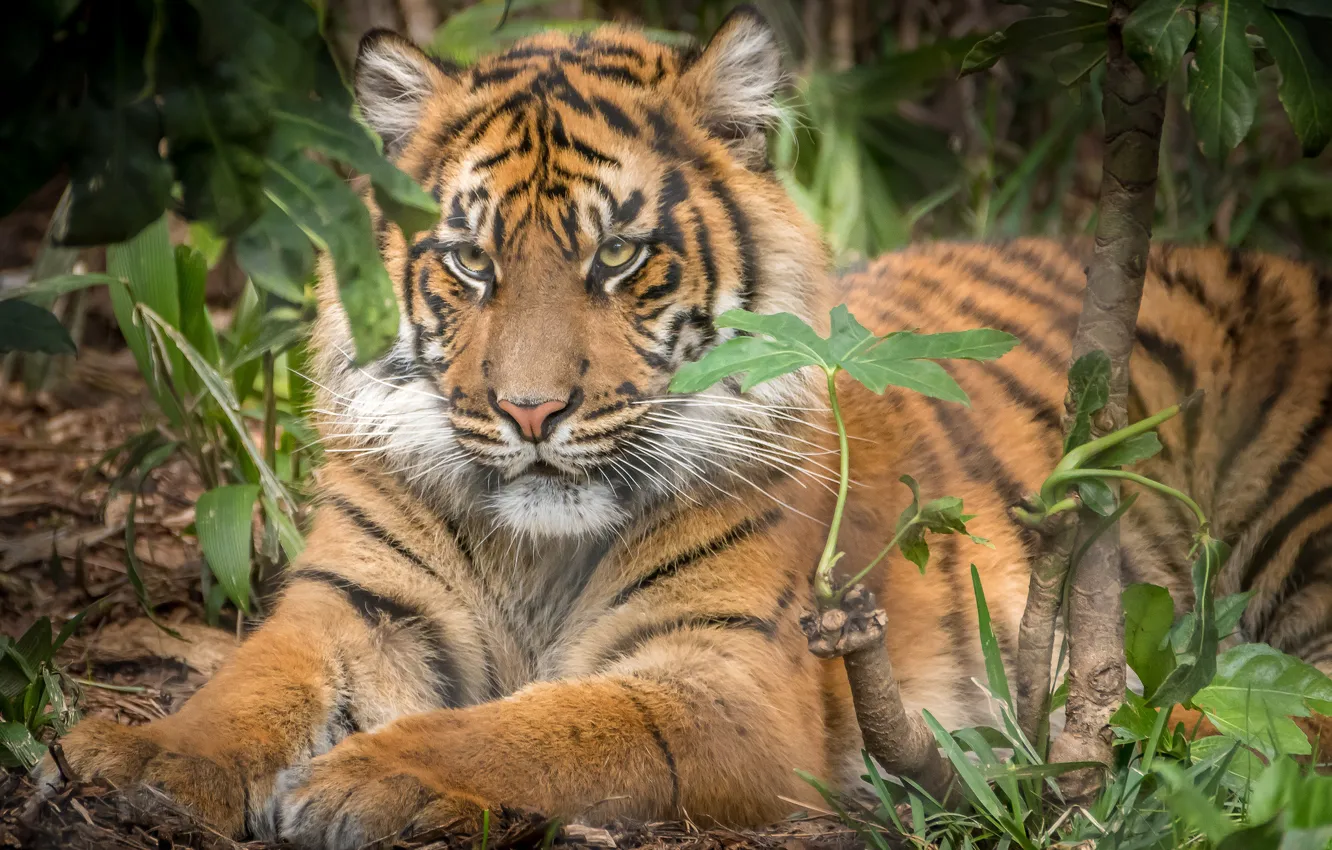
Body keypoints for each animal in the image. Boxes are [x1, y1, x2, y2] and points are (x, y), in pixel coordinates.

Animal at [45, 7, 1332, 849]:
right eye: (471, 262)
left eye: (619, 258)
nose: (529, 410)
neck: (534, 547)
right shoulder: (354, 601)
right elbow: (249, 687)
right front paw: (139, 765)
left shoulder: (722, 680)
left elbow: (543, 725)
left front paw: (366, 776)